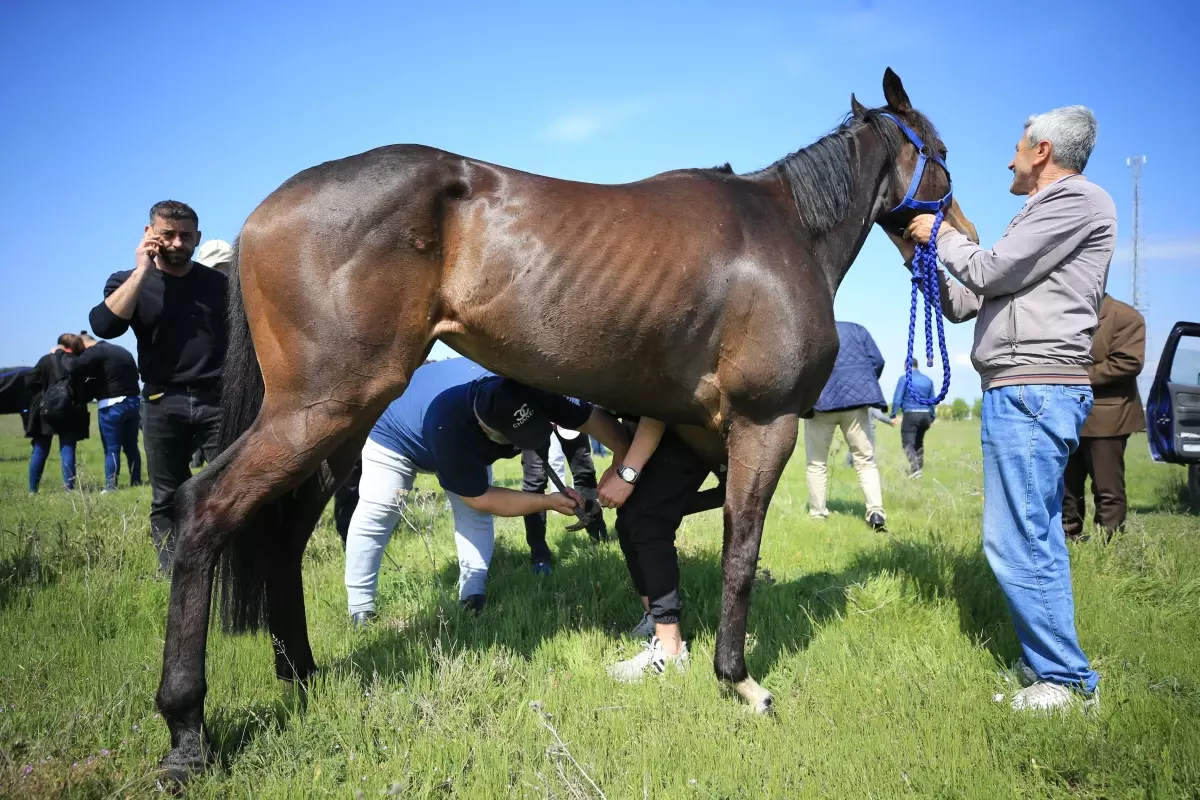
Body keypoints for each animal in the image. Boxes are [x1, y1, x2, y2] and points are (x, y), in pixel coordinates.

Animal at [154, 68, 974, 782]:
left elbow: (669, 524)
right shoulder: (762, 423)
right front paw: (739, 680)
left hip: (334, 427)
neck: (784, 232)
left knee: (280, 537)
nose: (955, 252)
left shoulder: (701, 430)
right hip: (320, 409)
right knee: (202, 513)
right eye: (944, 156)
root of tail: (263, 214)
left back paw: (300, 673)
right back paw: (186, 733)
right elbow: (740, 549)